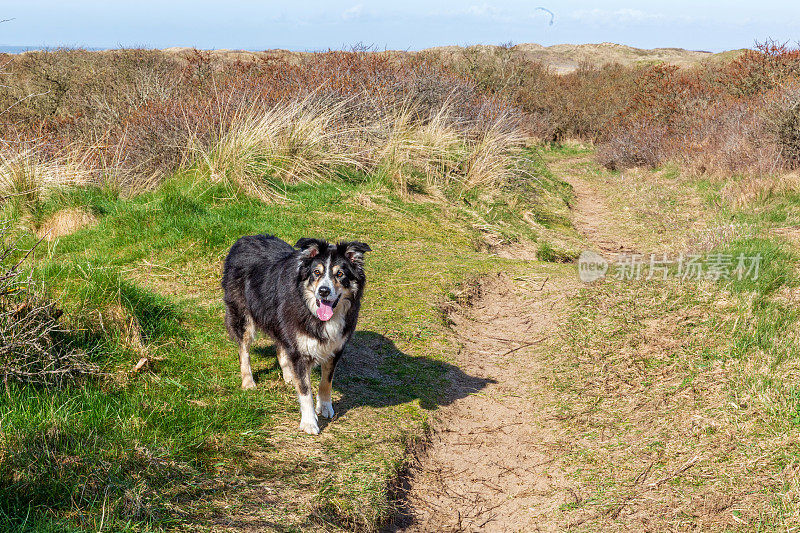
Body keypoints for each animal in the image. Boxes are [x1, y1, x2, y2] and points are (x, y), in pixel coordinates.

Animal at [222, 235, 372, 434]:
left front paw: (325, 407)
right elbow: (305, 390)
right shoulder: (299, 350)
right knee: (243, 350)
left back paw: (288, 376)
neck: (312, 309)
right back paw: (248, 382)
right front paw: (309, 422)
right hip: (242, 315)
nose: (323, 291)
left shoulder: (335, 348)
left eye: (340, 274)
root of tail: (245, 238)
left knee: (280, 348)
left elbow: (326, 382)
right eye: (316, 272)